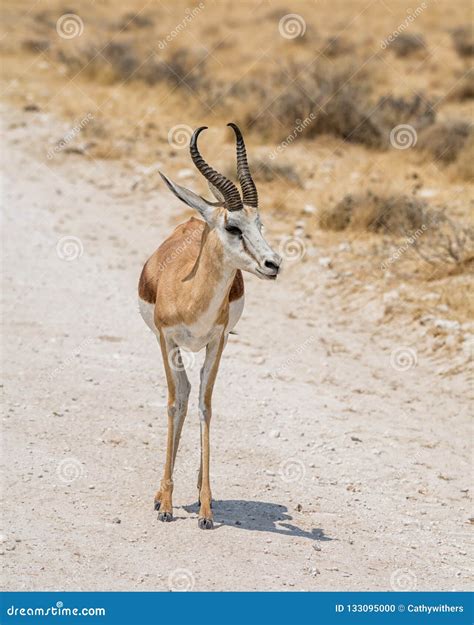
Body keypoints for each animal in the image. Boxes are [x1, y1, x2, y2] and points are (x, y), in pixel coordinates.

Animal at [137, 123, 282, 528]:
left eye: (259, 224)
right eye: (233, 226)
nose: (272, 264)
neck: (191, 298)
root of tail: (194, 217)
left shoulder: (217, 343)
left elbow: (206, 404)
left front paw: (204, 509)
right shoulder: (167, 340)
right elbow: (175, 403)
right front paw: (167, 506)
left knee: (196, 395)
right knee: (183, 395)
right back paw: (161, 496)